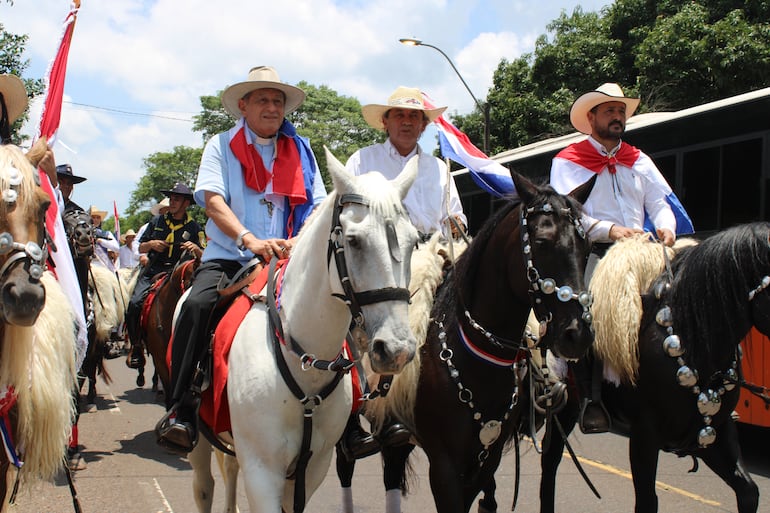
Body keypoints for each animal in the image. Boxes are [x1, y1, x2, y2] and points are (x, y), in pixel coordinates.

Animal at [189, 146, 420, 510]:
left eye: (414, 241)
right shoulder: (262, 471)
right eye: (353, 241)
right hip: (198, 441)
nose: (396, 350)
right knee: (203, 487)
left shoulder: (312, 468)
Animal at [336, 172, 592, 512]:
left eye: (587, 246)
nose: (577, 333)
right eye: (541, 242)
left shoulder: (487, 455)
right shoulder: (444, 464)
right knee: (345, 464)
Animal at [536, 223, 770, 512]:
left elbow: (748, 491)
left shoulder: (714, 431)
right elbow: (647, 500)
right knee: (550, 458)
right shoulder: (644, 434)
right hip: (566, 405)